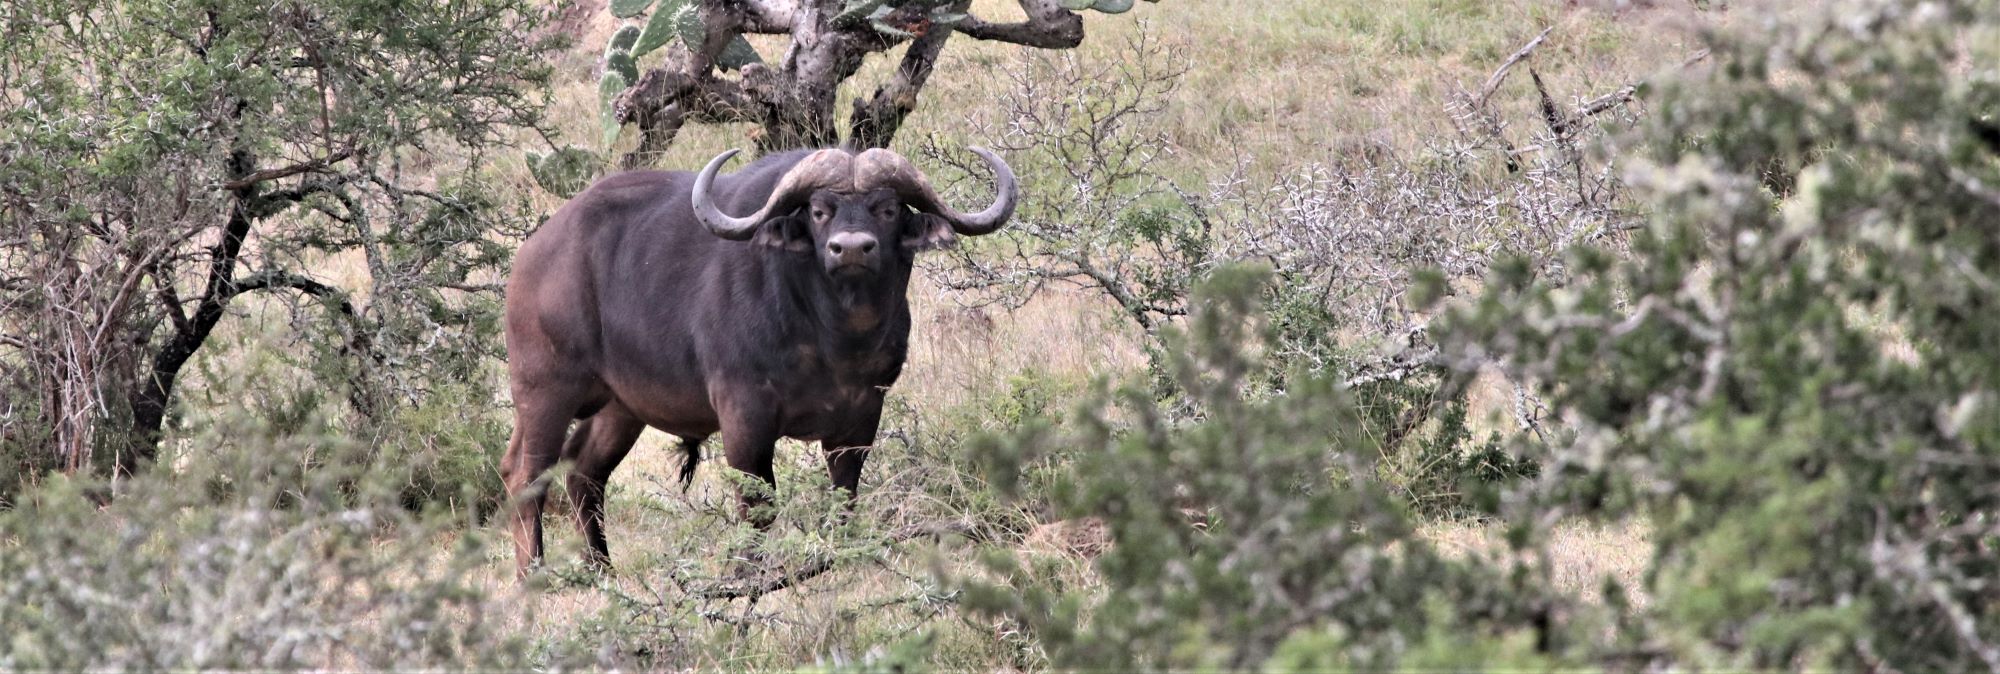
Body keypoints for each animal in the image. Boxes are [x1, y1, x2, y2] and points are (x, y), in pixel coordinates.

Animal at [500, 146, 1017, 575]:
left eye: (888, 209)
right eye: (818, 211)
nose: (850, 248)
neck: (834, 339)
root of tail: (533, 253)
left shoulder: (862, 416)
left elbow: (844, 494)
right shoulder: (744, 416)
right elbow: (757, 505)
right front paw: (750, 575)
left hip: (620, 407)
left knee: (583, 471)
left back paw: (602, 570)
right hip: (544, 391)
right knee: (526, 476)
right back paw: (535, 572)